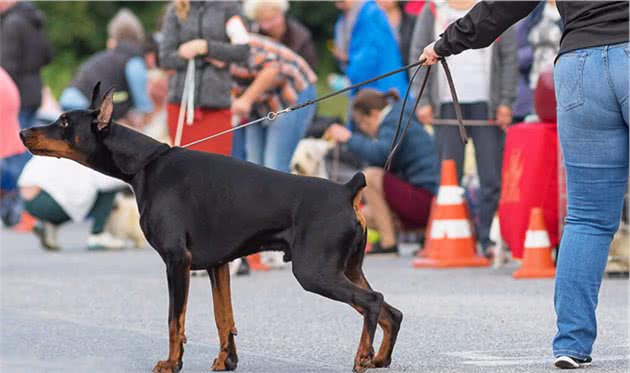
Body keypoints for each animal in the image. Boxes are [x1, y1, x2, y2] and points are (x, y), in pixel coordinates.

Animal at [22, 84, 404, 372]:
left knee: (373, 302)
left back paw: (363, 356)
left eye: (64, 121)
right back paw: (379, 358)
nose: (24, 132)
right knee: (392, 311)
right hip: (347, 267)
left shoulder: (177, 260)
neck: (144, 165)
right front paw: (225, 361)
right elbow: (224, 317)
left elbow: (175, 319)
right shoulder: (218, 264)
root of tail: (347, 188)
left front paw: (172, 363)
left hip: (315, 271)